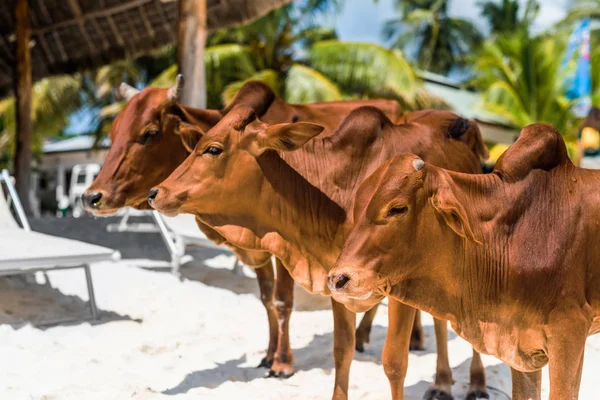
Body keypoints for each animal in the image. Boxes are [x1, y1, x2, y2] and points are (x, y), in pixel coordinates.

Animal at [82, 79, 404, 378]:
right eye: (112, 134)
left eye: (149, 133)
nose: (91, 196)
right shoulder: (258, 250)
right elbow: (266, 300)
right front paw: (268, 354)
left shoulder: (285, 247)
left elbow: (282, 301)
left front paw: (282, 362)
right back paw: (364, 337)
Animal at [148, 107, 490, 400]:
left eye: (213, 149)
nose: (155, 192)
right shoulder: (336, 281)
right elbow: (342, 352)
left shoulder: (400, 291)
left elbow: (394, 362)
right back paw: (442, 384)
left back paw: (476, 385)